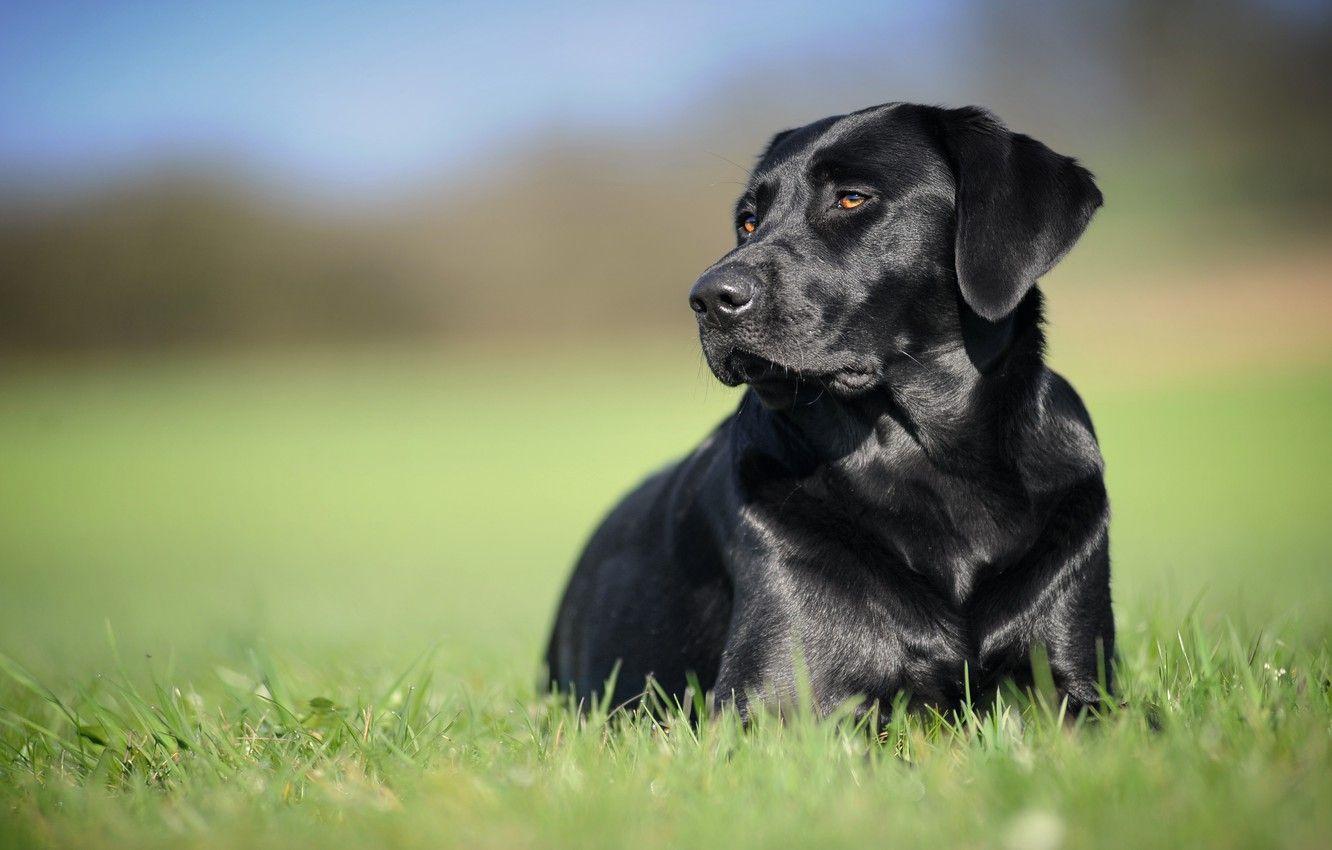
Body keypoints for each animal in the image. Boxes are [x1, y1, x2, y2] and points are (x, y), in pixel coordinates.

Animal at [543, 101, 1113, 719]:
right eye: (748, 221)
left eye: (851, 198)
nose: (708, 298)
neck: (929, 463)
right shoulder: (772, 706)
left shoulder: (1079, 683)